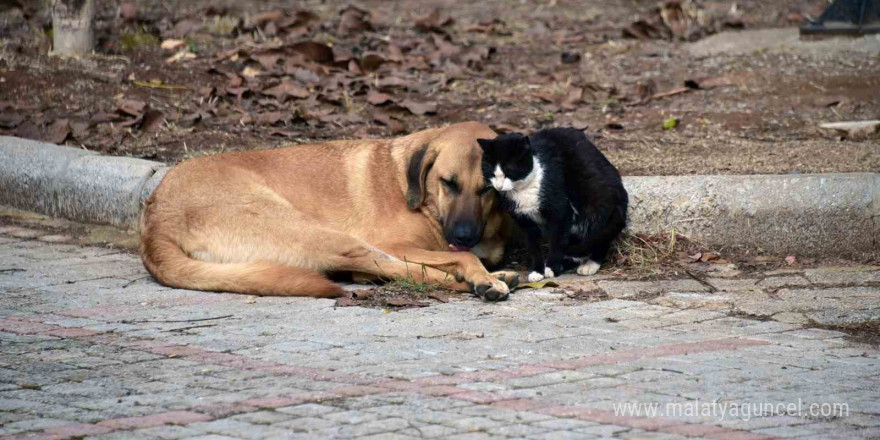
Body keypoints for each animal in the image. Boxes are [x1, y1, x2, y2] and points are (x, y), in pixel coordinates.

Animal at [141, 122, 520, 300]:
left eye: (488, 188)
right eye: (448, 183)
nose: (464, 235)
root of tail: (155, 221)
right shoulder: (398, 245)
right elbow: (456, 258)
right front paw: (478, 274)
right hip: (327, 236)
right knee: (403, 271)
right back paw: (480, 281)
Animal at [478, 129, 628, 284]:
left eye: (509, 170)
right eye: (490, 171)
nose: (499, 186)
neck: (523, 189)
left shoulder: (560, 212)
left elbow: (557, 240)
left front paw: (551, 268)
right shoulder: (524, 221)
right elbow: (533, 246)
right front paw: (537, 271)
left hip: (594, 202)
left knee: (599, 237)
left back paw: (590, 264)